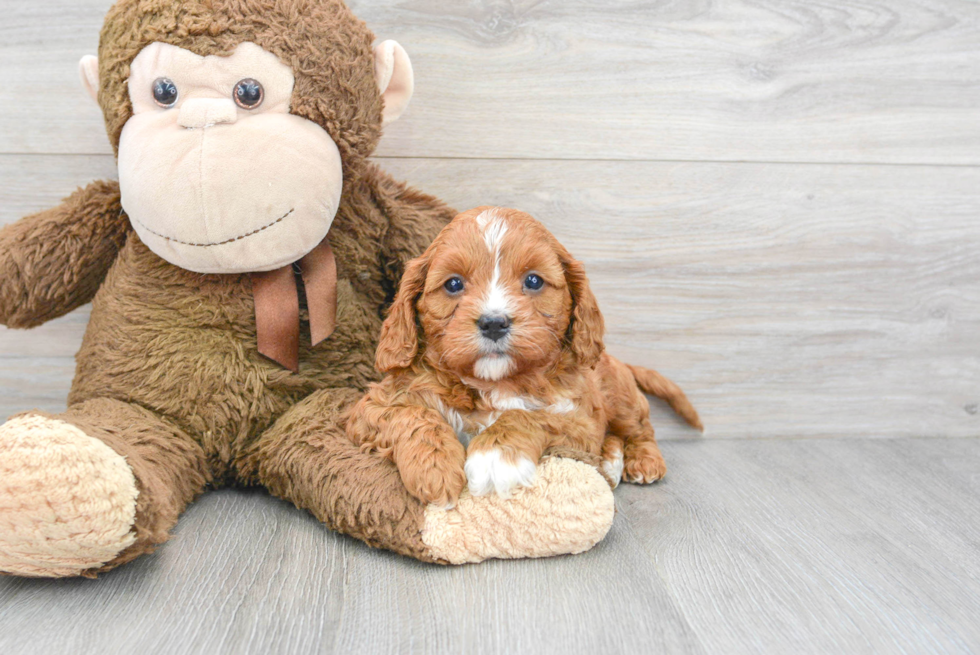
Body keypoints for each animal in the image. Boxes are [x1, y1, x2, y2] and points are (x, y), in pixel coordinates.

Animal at [344, 206, 696, 508]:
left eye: (534, 280)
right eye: (454, 284)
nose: (493, 322)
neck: (494, 382)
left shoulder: (578, 421)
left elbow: (528, 415)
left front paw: (494, 457)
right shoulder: (373, 406)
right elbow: (413, 415)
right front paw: (434, 467)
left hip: (620, 397)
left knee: (640, 427)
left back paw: (643, 461)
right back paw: (611, 463)